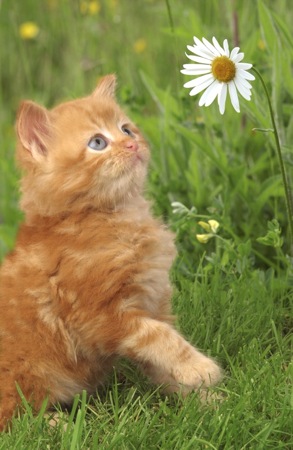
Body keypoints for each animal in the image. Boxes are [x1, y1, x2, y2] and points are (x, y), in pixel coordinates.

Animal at [0, 75, 220, 430]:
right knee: (17, 423)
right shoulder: (100, 317)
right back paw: (63, 425)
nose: (132, 145)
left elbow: (163, 359)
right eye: (97, 143)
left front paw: (209, 402)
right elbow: (162, 339)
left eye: (126, 129)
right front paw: (202, 370)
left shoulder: (152, 302)